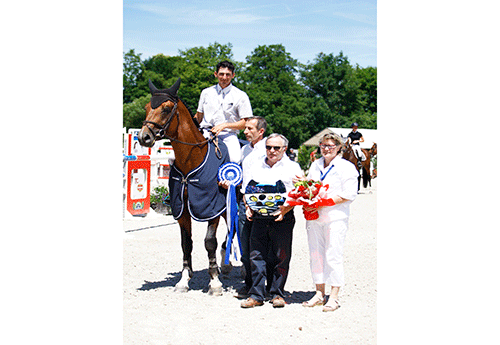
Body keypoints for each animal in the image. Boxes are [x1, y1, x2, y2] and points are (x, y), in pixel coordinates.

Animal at [138, 78, 229, 296]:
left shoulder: (211, 208)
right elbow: (186, 244)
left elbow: (209, 242)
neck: (191, 160)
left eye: (166, 108)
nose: (143, 137)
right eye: (147, 107)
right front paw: (183, 280)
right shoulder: (182, 210)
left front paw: (214, 282)